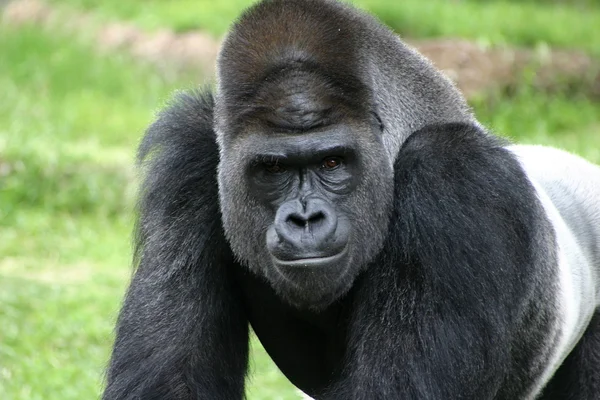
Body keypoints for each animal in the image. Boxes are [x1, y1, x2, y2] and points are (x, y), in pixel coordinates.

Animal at [103, 0, 600, 400]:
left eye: (332, 163)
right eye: (273, 169)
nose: (305, 218)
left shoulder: (458, 176)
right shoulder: (190, 157)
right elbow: (170, 382)